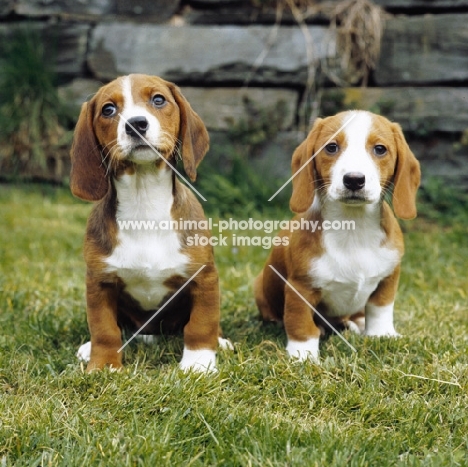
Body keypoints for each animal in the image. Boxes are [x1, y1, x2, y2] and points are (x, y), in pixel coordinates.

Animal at [70, 73, 229, 372]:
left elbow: (201, 325)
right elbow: (104, 329)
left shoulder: (204, 278)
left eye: (158, 99)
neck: (144, 205)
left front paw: (198, 364)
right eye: (108, 109)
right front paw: (104, 366)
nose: (136, 124)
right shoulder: (99, 283)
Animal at [254, 109, 422, 362]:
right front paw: (303, 355)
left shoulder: (389, 277)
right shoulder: (300, 288)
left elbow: (380, 309)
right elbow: (301, 324)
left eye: (380, 149)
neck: (353, 227)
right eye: (331, 147)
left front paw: (382, 335)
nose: (354, 179)